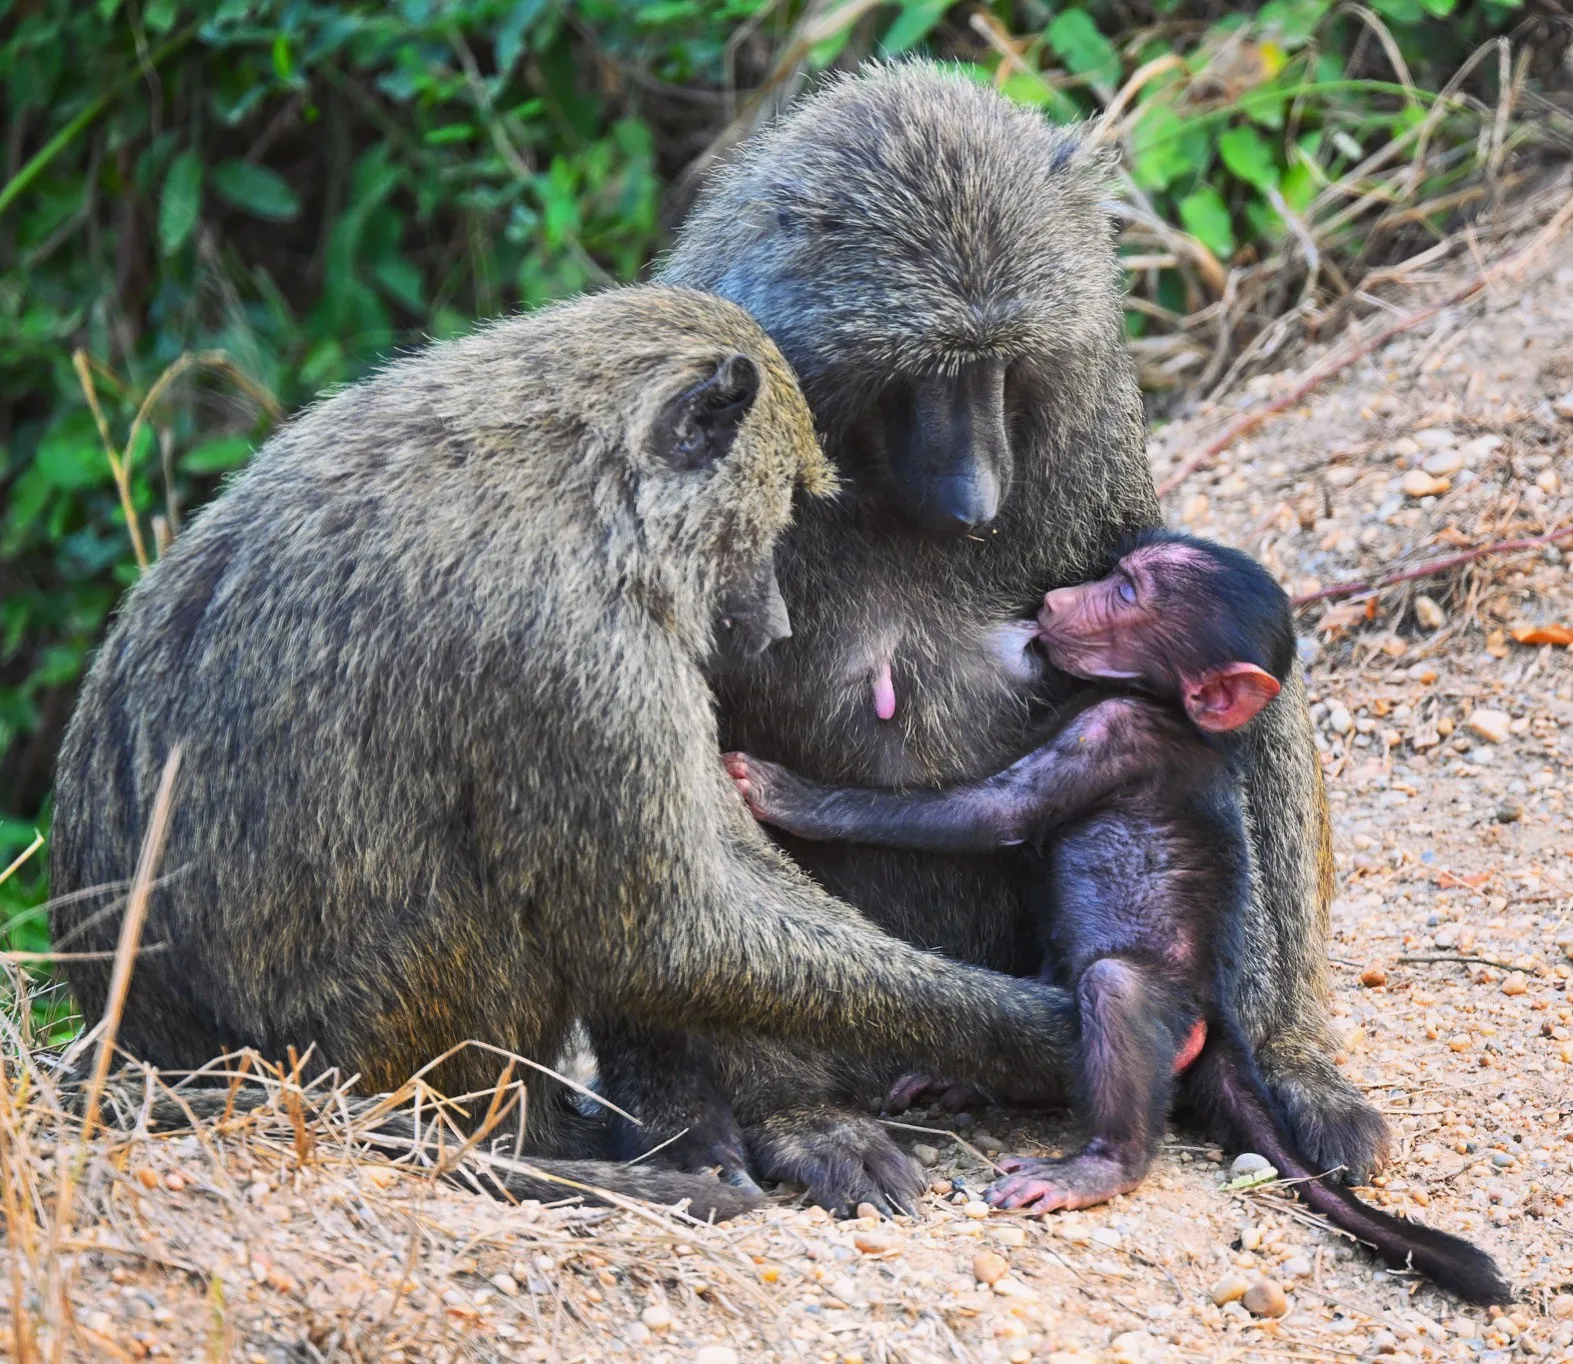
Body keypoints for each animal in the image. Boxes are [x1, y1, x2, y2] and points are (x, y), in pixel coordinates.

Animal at [49, 284, 1104, 1220]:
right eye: (771, 511)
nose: (772, 623)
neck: (573, 470)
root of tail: (145, 1049)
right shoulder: (576, 647)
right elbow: (667, 934)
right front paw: (1042, 1032)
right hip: (373, 1043)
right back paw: (546, 1146)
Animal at [590, 59, 1385, 1212]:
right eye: (919, 368)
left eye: (1004, 362)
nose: (976, 501)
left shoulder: (1087, 411)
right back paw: (799, 1118)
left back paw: (1286, 1071)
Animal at [723, 530, 1511, 1306]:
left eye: (1128, 591)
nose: (1056, 600)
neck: (1176, 715)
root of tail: (1220, 1018)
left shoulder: (1115, 729)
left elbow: (995, 813)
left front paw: (789, 796)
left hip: (1166, 1013)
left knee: (1115, 990)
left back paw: (1102, 1166)